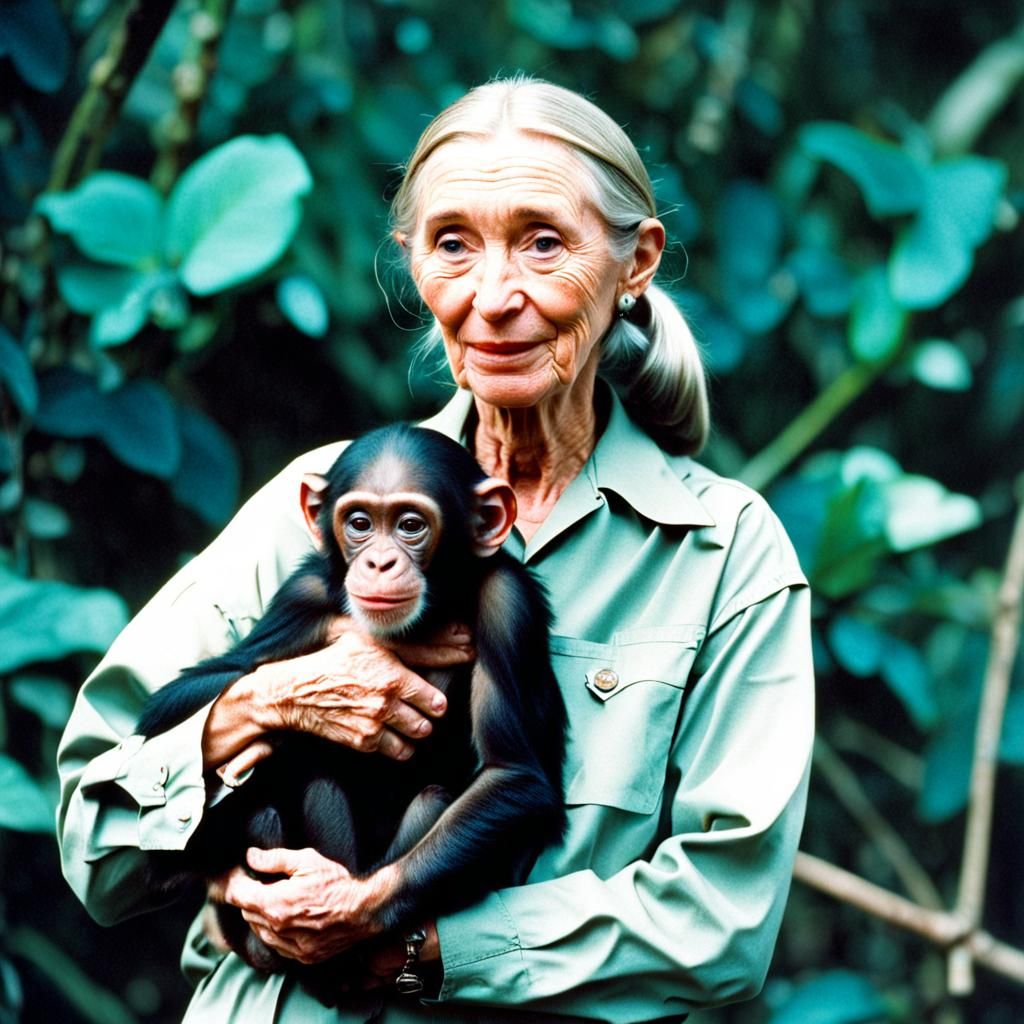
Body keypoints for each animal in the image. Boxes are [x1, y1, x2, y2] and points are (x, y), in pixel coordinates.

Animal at [136, 423, 567, 1001]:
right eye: (360, 523)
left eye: (410, 525)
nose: (380, 562)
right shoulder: (302, 595)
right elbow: (175, 702)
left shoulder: (509, 602)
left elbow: (513, 772)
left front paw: (335, 909)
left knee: (433, 800)